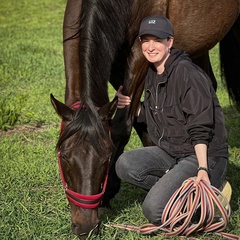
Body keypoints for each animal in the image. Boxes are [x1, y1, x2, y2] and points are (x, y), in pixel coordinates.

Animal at [51, 0, 240, 238]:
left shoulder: (138, 54)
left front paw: (108, 193)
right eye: (64, 157)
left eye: (106, 159)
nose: (85, 227)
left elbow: (122, 125)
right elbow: (137, 115)